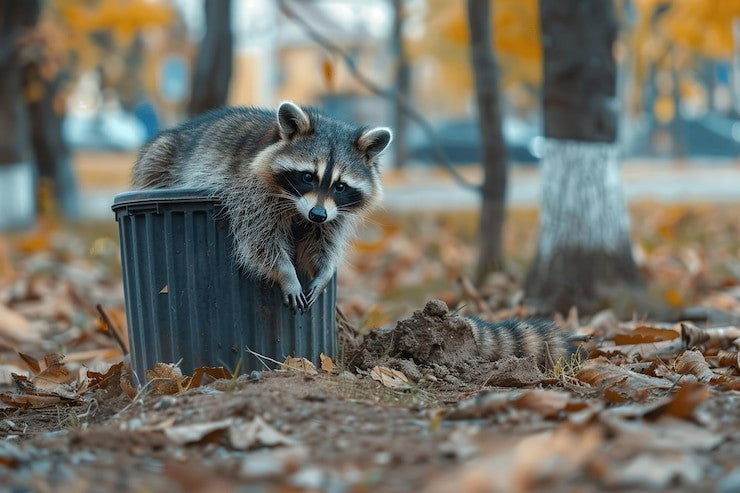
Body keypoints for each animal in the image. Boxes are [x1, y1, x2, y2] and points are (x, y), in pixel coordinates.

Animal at [132, 102, 391, 313]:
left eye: (340, 186)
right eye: (308, 176)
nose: (317, 214)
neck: (297, 206)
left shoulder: (335, 212)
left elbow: (322, 242)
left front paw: (325, 271)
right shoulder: (250, 192)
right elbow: (260, 240)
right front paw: (287, 273)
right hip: (158, 158)